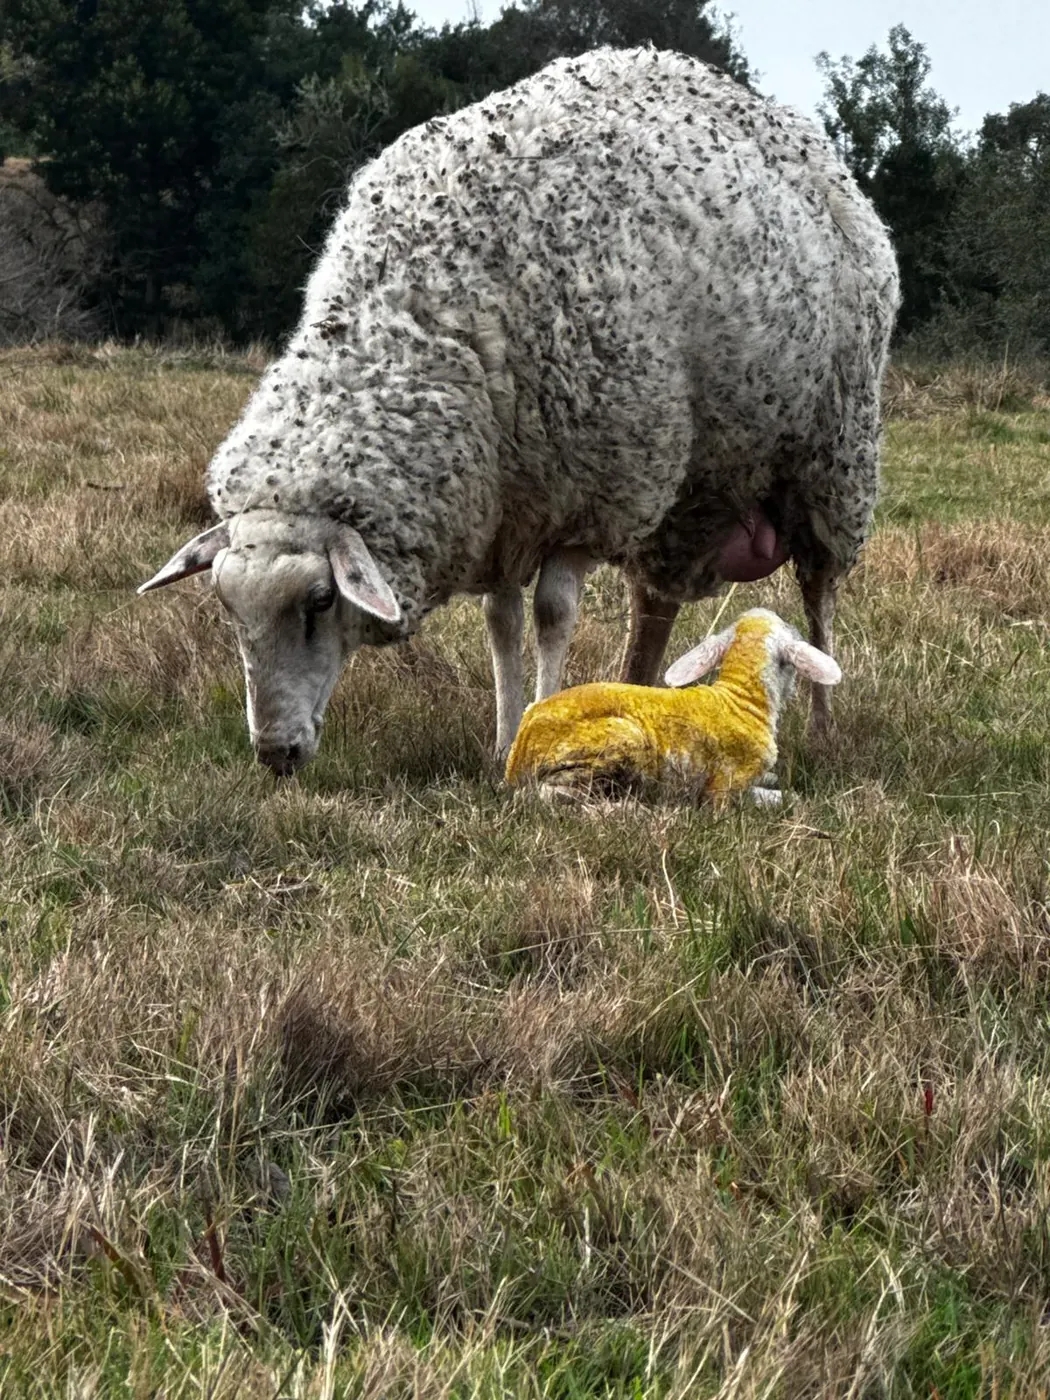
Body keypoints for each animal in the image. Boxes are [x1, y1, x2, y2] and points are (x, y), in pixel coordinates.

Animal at [137, 46, 898, 776]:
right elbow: (501, 623)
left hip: (832, 456)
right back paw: (635, 686)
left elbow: (551, 616)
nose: (275, 755)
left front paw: (541, 721)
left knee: (818, 593)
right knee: (655, 602)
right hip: (691, 489)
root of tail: (799, 133)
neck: (426, 320)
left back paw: (822, 727)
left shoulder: (587, 498)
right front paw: (502, 740)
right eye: (227, 606)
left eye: (321, 601)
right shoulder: (498, 511)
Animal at [504, 608, 842, 804]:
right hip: (616, 741)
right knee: (547, 795)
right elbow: (769, 799)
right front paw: (789, 797)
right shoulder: (722, 788)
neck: (741, 699)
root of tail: (519, 754)